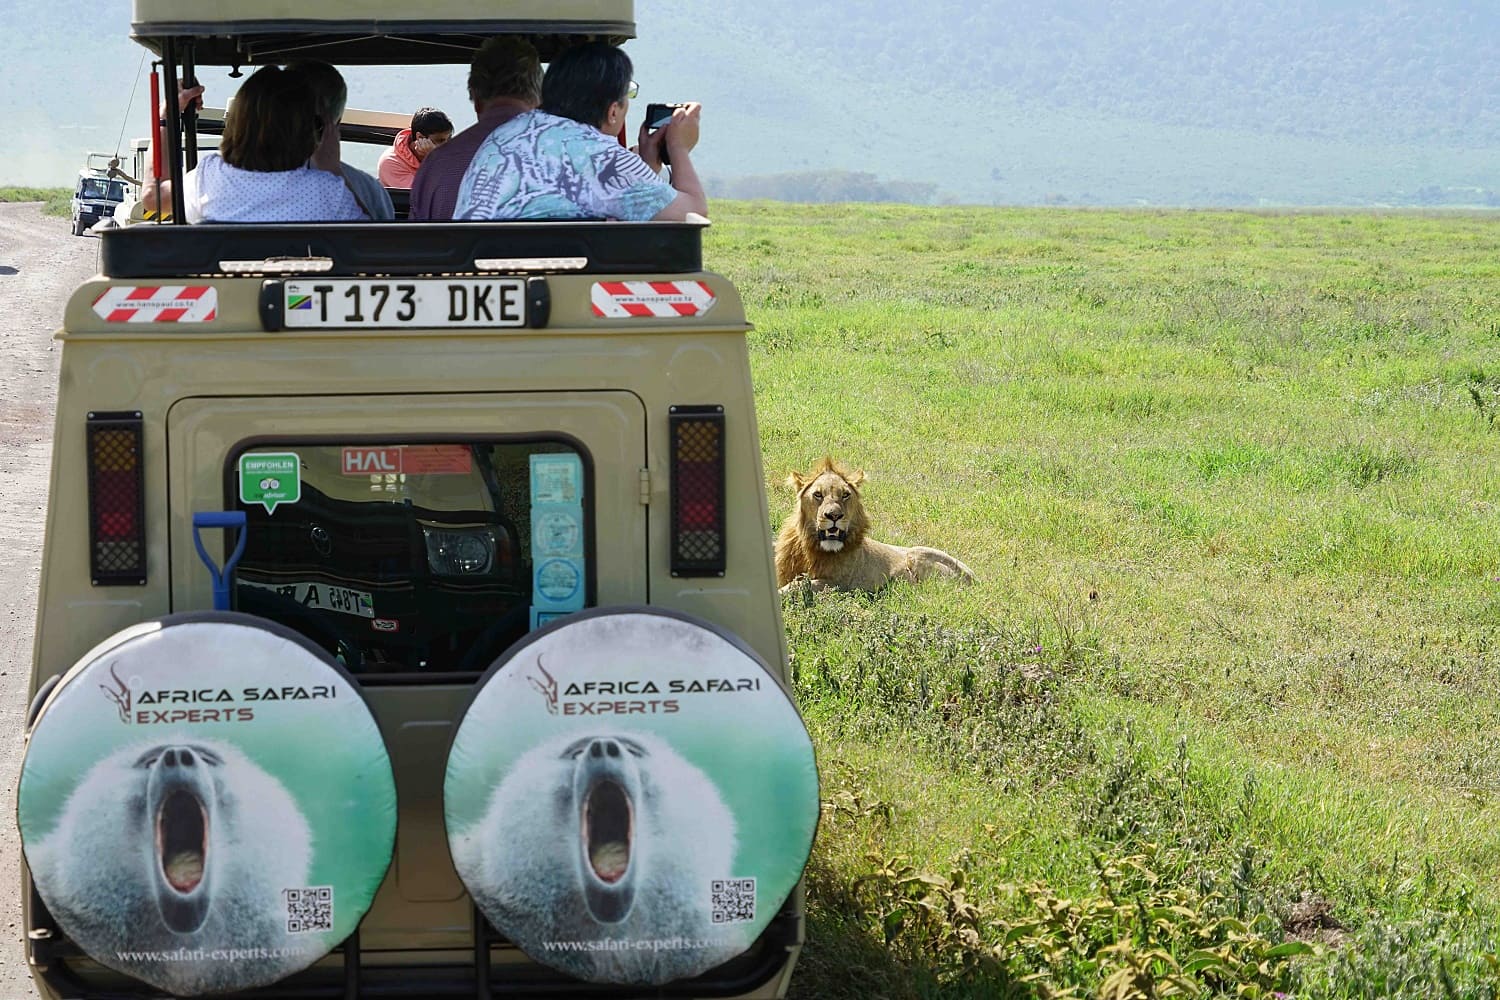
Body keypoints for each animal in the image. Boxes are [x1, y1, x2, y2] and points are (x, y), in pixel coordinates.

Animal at [774, 457, 976, 594]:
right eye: (818, 495)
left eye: (845, 495)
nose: (834, 516)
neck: (811, 547)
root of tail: (975, 577)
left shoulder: (838, 583)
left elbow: (800, 584)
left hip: (917, 555)